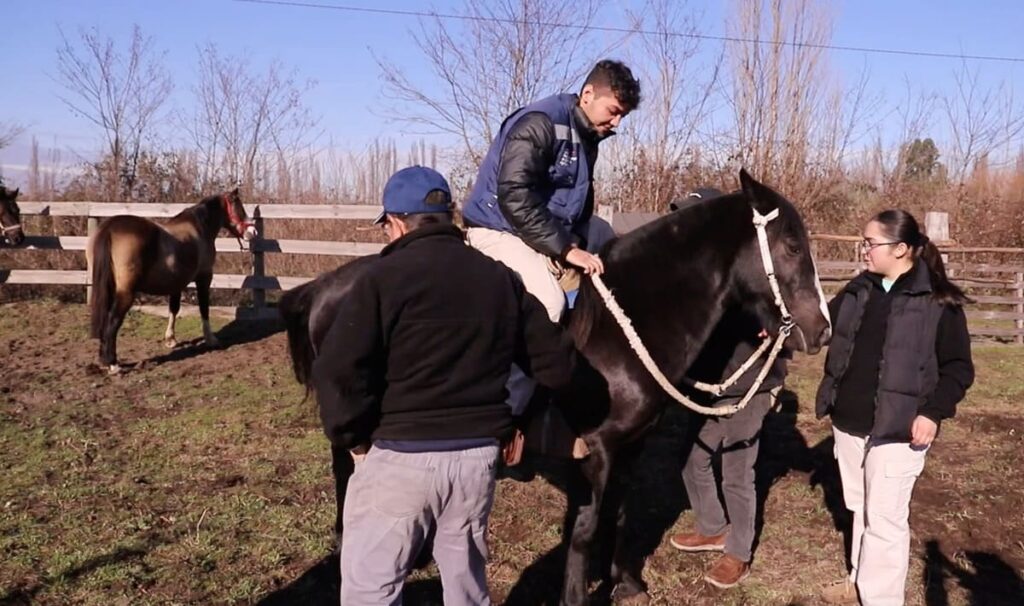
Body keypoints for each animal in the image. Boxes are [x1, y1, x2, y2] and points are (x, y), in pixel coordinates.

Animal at [87, 189, 258, 373]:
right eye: (239, 206)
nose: (253, 232)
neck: (200, 228)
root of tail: (110, 229)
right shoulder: (204, 278)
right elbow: (204, 308)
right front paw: (211, 339)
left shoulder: (176, 283)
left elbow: (173, 309)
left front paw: (170, 339)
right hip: (126, 293)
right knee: (113, 321)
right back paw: (113, 364)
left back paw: (103, 360)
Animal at [280, 169, 832, 603]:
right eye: (791, 246)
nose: (821, 329)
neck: (626, 323)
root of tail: (328, 285)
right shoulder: (598, 450)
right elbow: (585, 529)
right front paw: (576, 595)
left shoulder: (632, 445)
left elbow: (621, 514)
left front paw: (626, 583)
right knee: (346, 470)